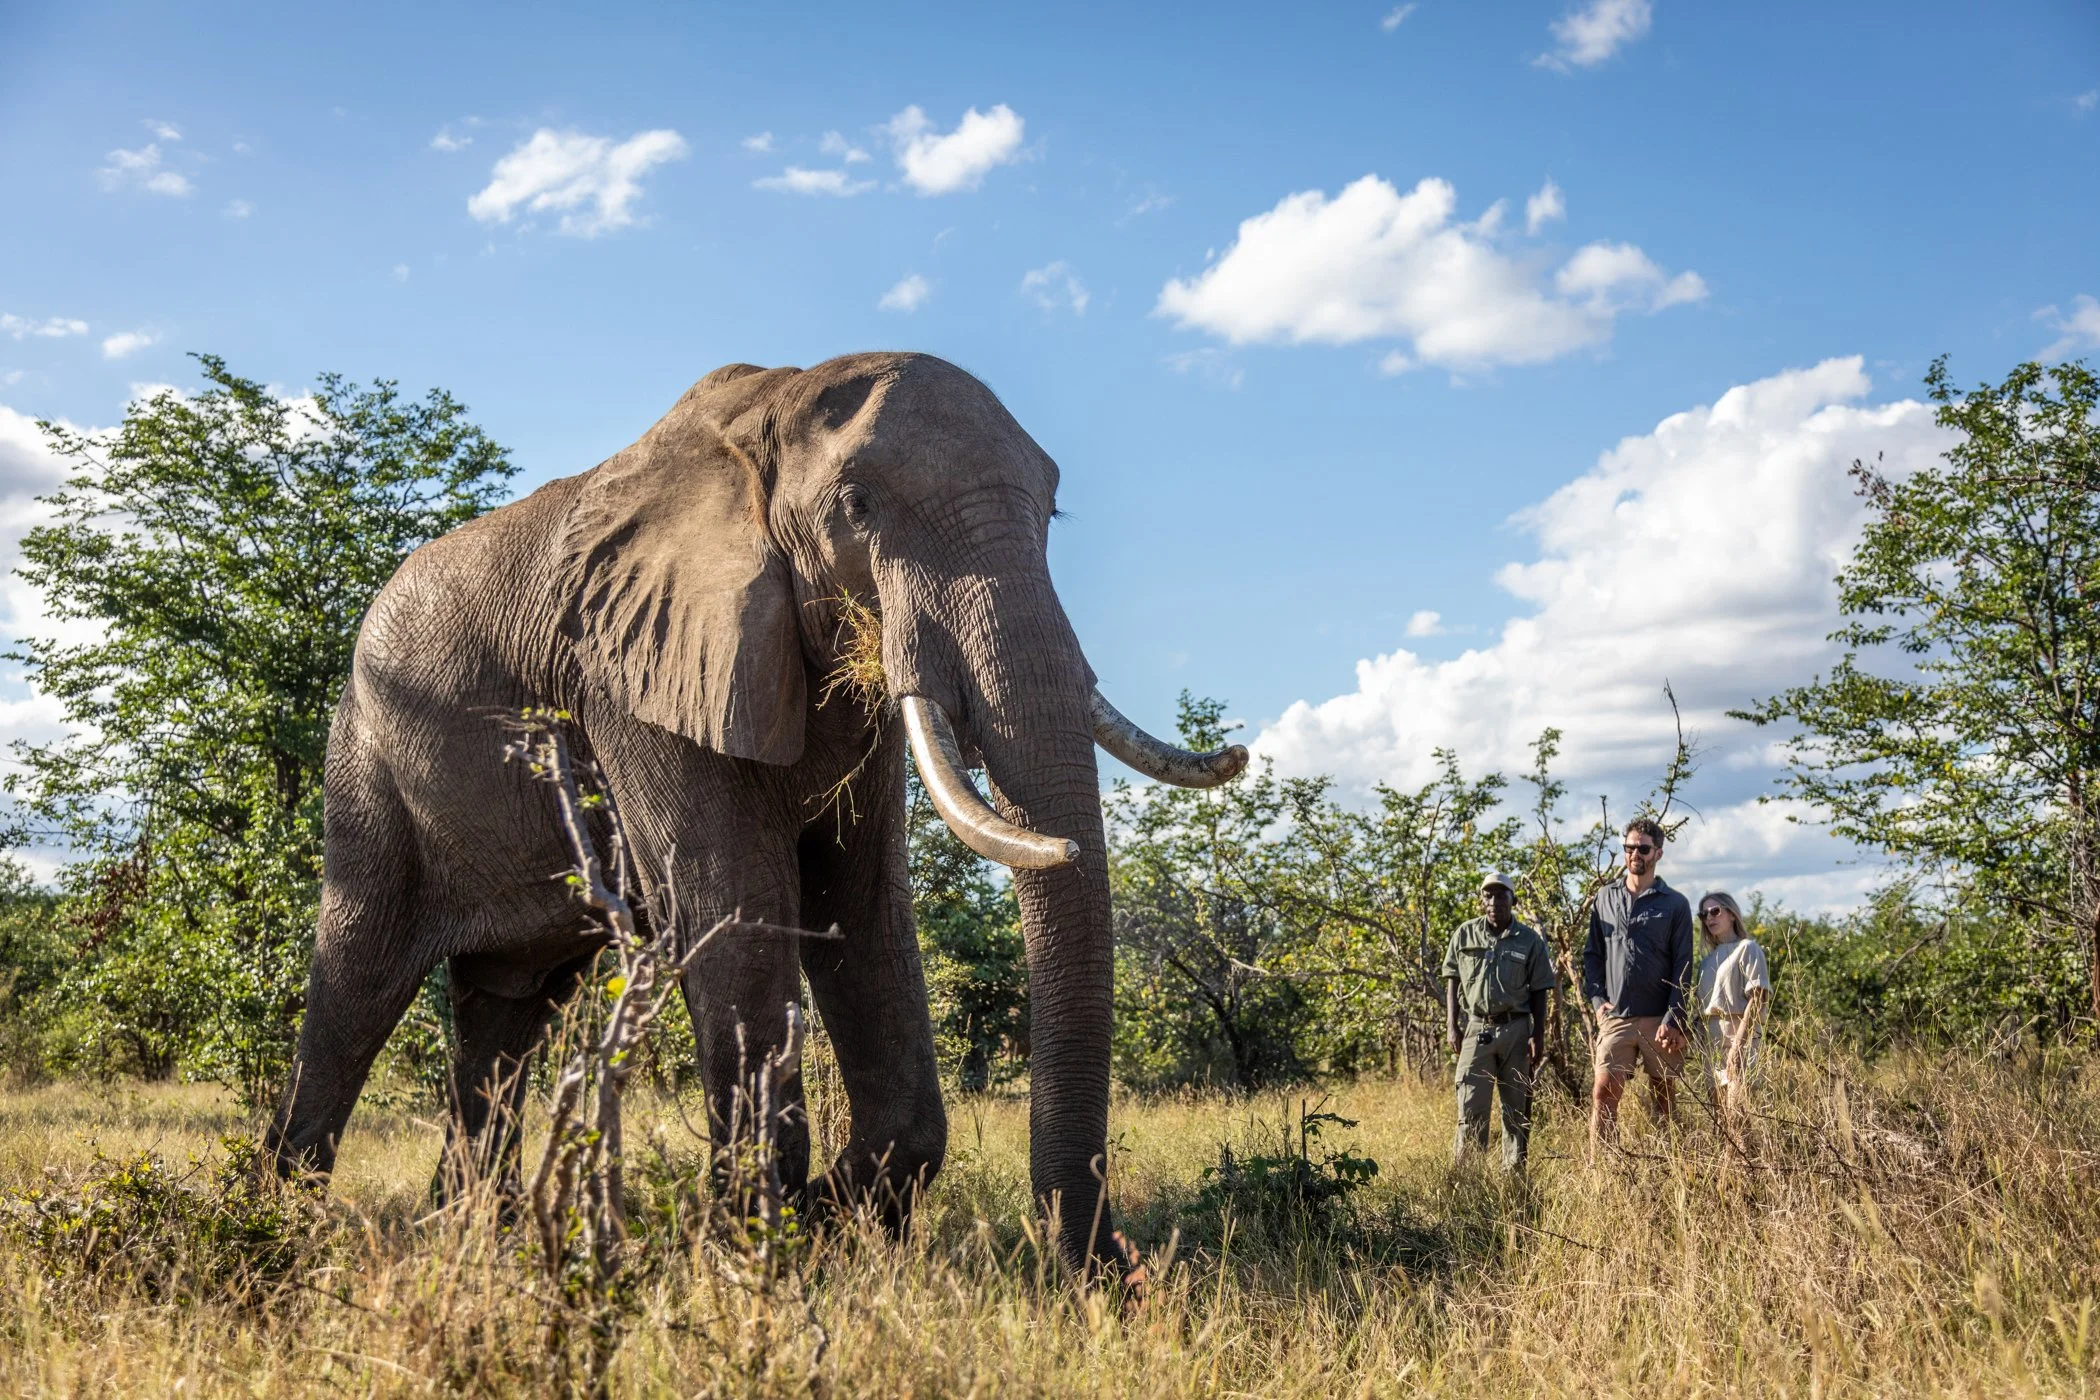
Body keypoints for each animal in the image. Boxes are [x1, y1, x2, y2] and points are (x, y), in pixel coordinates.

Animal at [263, 352, 1245, 1268]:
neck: (769, 408)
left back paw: (471, 1241)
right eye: (856, 504)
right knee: (358, 980)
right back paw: (281, 1228)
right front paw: (762, 1247)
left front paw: (826, 1223)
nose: (1106, 1270)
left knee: (507, 1006)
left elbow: (863, 905)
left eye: (1051, 513)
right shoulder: (634, 670)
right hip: (368, 762)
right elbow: (737, 902)